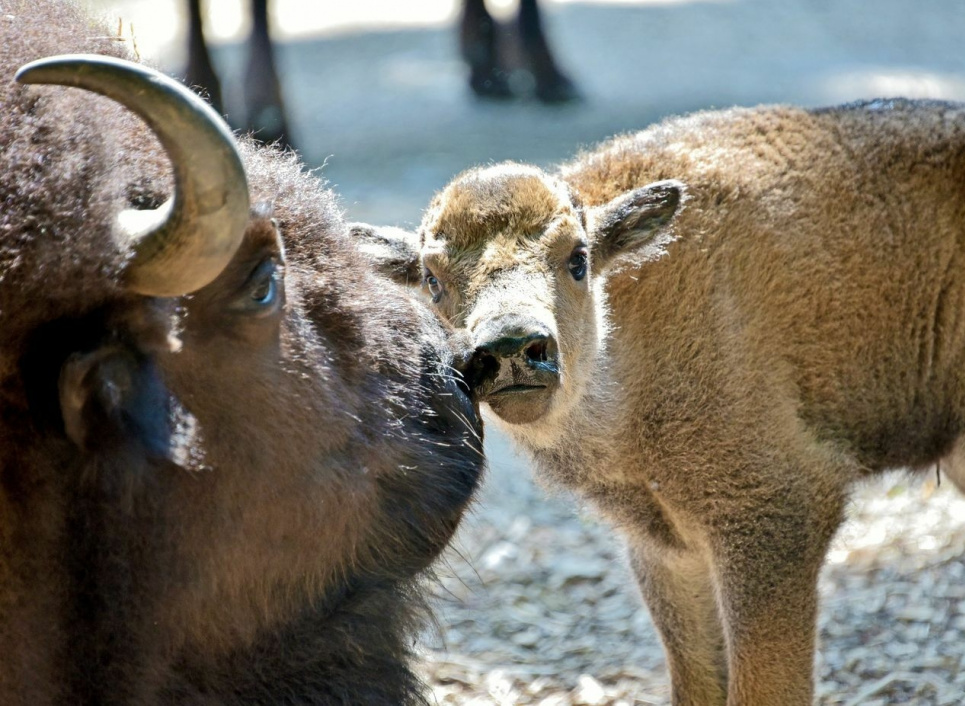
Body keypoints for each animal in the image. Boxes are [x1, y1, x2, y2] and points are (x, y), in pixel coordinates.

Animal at [358, 100, 964, 704]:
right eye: (432, 279)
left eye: (577, 259)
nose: (511, 347)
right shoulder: (667, 547)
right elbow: (696, 679)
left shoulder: (778, 513)